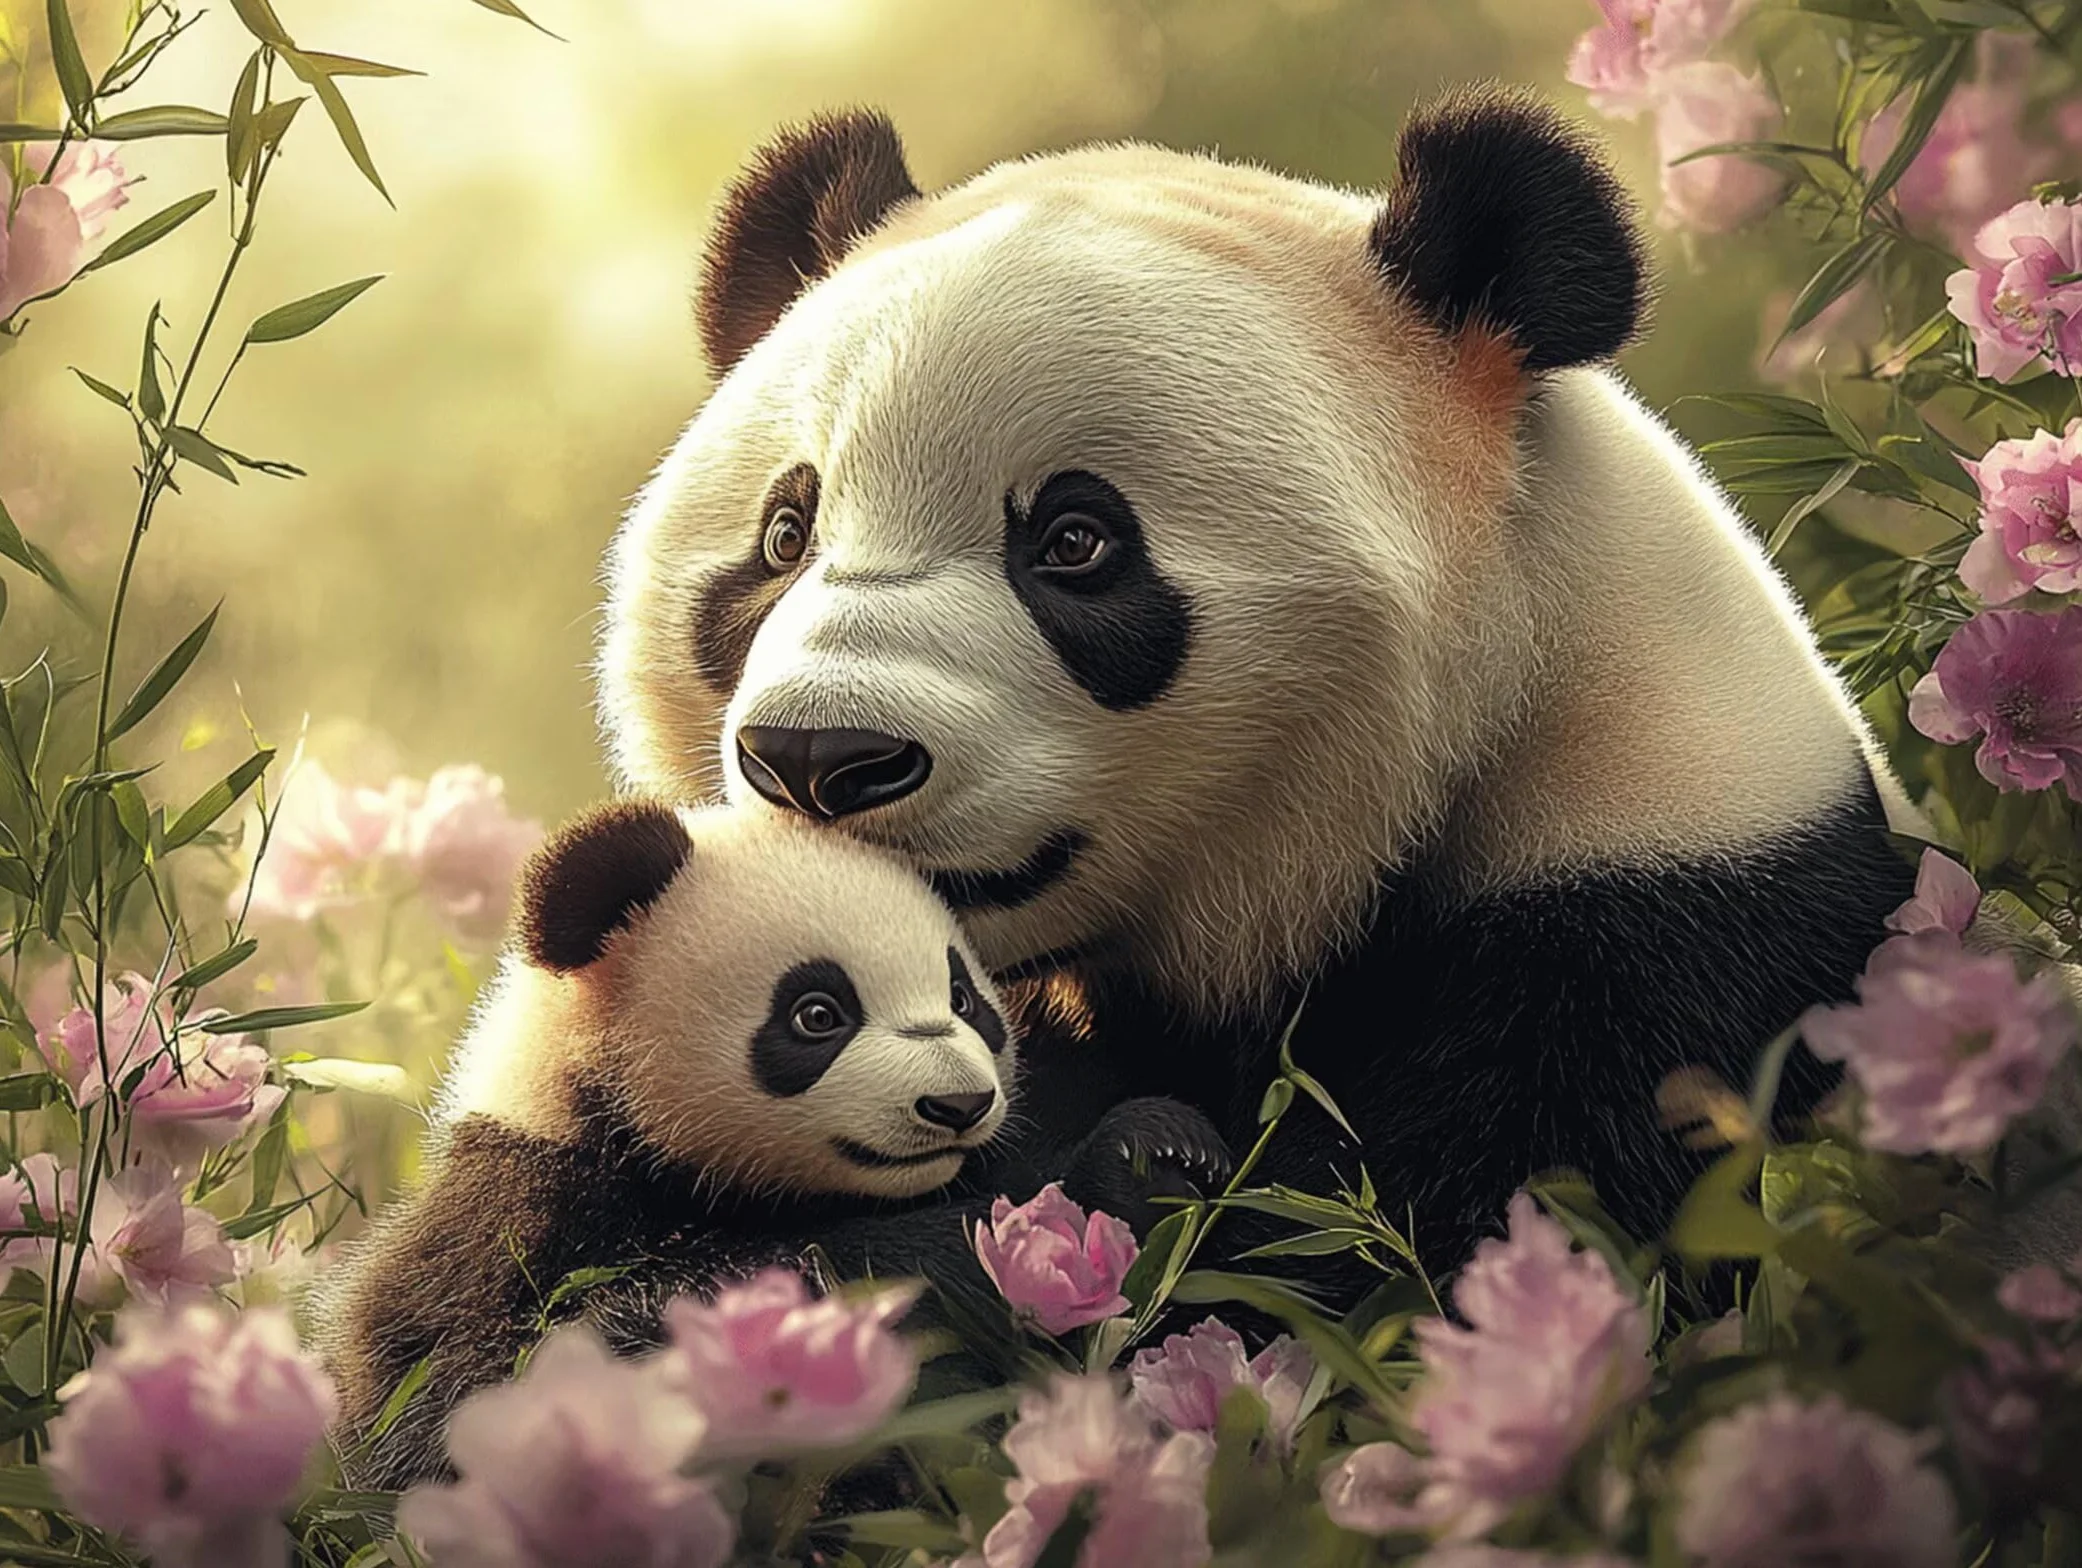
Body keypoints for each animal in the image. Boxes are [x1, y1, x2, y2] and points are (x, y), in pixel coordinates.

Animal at [314, 799, 1225, 1490]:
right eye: (817, 1013)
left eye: (965, 997)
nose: (958, 1104)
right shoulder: (523, 1212)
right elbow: (491, 1388)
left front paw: (1161, 1158)